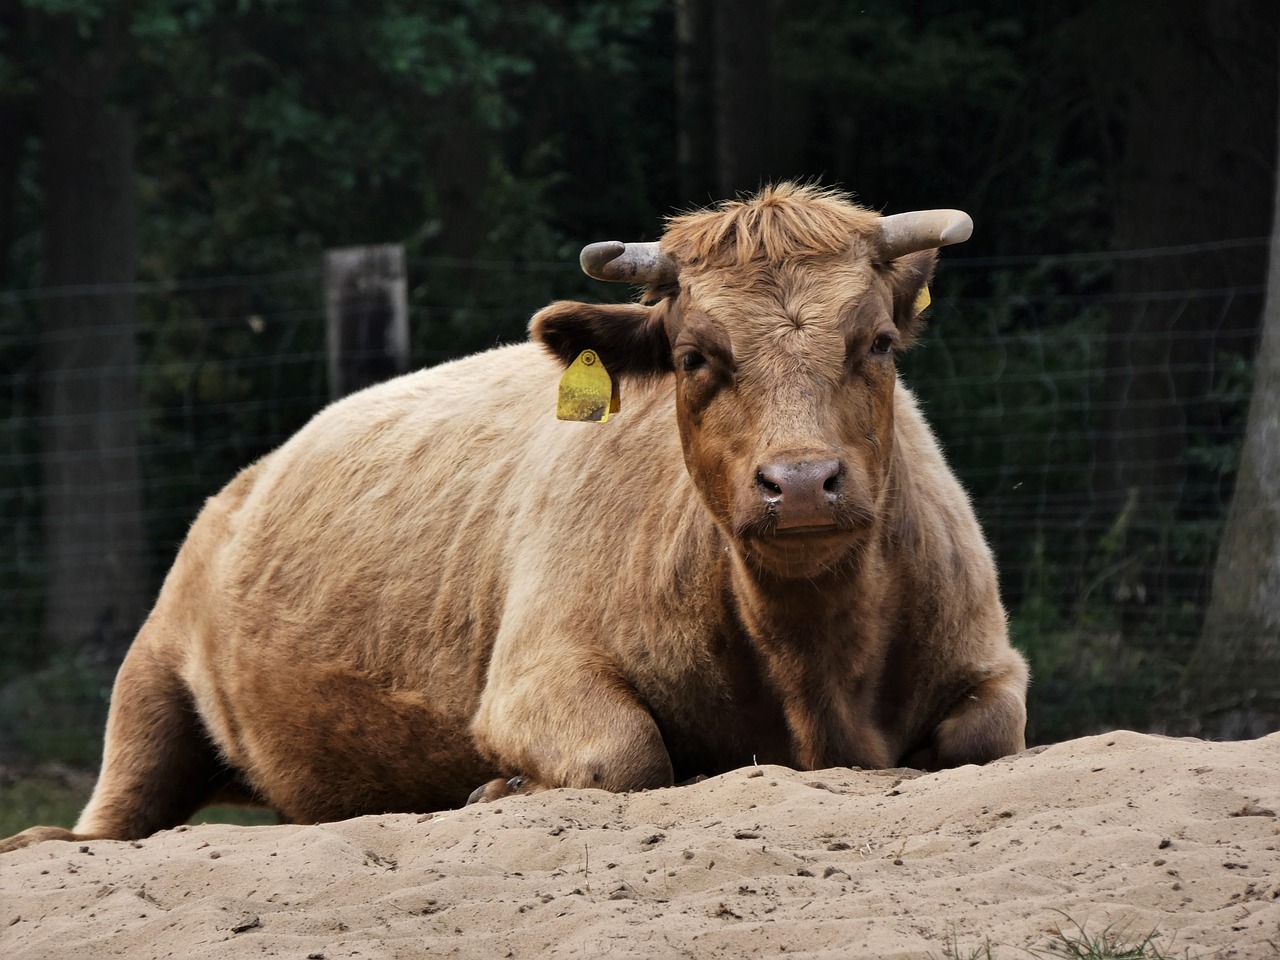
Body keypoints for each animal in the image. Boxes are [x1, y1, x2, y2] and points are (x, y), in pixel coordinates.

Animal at [0, 184, 1024, 855]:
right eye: (695, 355)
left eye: (878, 342)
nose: (802, 483)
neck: (813, 673)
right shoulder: (536, 675)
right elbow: (623, 756)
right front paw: (500, 788)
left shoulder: (990, 663)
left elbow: (985, 739)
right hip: (150, 680)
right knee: (103, 820)